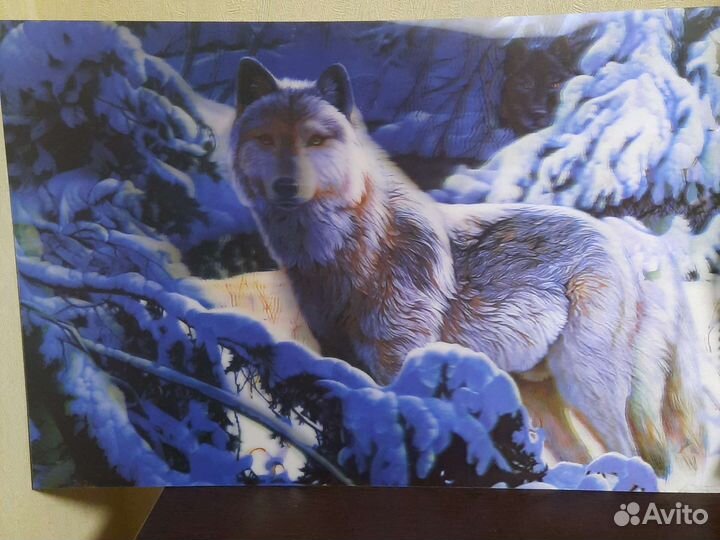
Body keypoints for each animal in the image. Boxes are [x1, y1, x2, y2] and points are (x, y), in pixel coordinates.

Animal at [229, 57, 706, 475]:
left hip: (586, 385)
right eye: (267, 139)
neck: (349, 255)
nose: (286, 185)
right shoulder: (342, 363)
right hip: (542, 397)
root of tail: (630, 240)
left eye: (314, 140)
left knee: (635, 455)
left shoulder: (401, 365)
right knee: (588, 457)